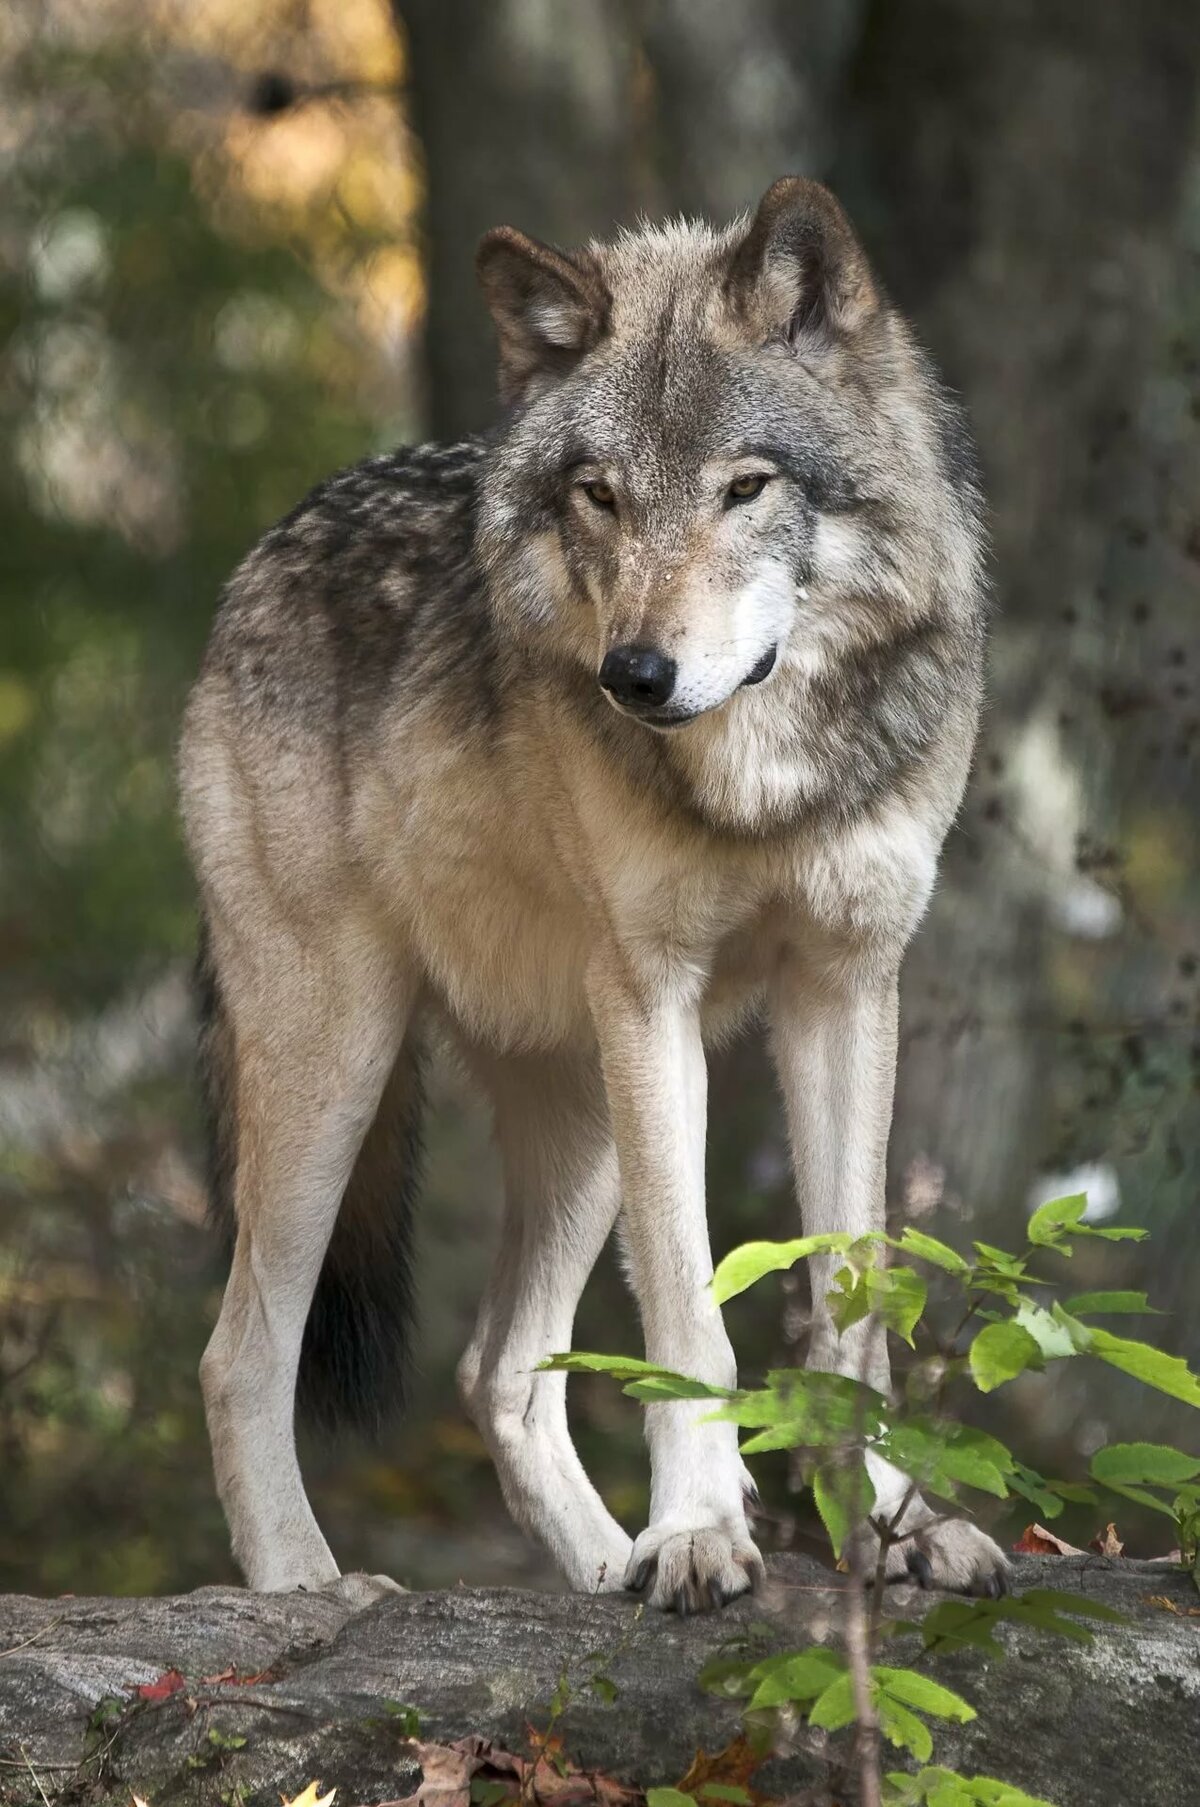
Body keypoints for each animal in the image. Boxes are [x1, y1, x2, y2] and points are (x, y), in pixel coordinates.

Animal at [180, 177, 1008, 1613]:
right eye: (601, 497)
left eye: (745, 487)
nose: (638, 673)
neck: (762, 777)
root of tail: (267, 550)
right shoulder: (656, 995)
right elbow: (688, 1314)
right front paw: (698, 1532)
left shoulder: (845, 987)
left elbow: (851, 1307)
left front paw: (893, 1528)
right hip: (341, 1055)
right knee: (243, 1354)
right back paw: (311, 1585)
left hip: (575, 1114)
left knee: (497, 1369)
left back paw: (600, 1565)